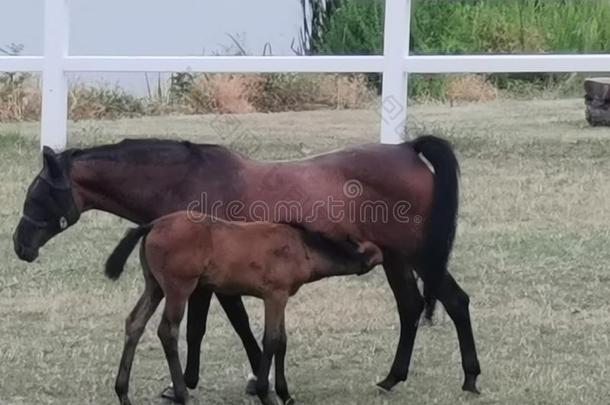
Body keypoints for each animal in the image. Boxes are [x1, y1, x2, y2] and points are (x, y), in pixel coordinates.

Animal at [104, 211, 380, 404]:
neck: (300, 245)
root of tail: (152, 225)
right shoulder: (274, 296)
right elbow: (271, 340)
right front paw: (265, 393)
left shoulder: (281, 298)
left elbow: (282, 342)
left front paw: (286, 394)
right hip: (178, 289)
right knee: (167, 331)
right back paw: (182, 395)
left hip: (155, 287)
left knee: (135, 323)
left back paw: (122, 392)